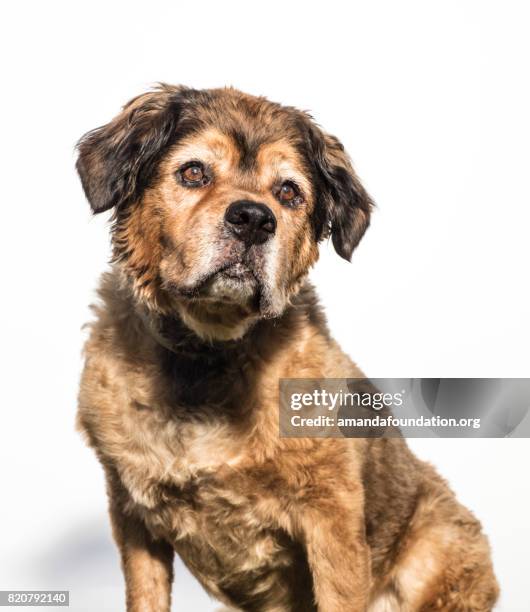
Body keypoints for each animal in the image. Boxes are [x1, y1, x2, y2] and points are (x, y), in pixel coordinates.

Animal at [76, 83, 498, 608]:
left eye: (288, 192)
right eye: (193, 172)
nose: (253, 219)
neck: (208, 357)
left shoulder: (332, 516)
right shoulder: (132, 514)